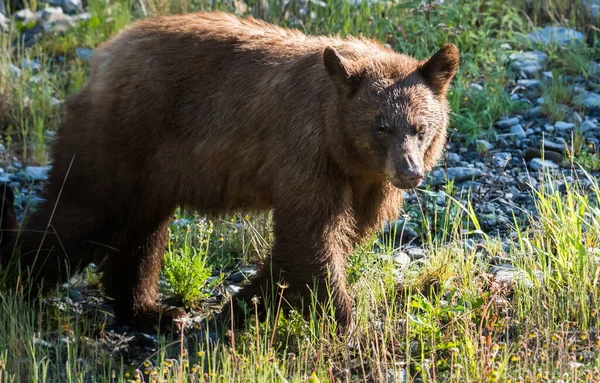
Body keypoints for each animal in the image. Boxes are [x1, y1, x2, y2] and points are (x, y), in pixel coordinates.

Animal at [1, 11, 460, 330]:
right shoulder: (307, 151)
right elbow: (312, 231)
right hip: (123, 136)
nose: (410, 172)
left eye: (421, 127)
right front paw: (346, 318)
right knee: (82, 211)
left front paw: (246, 303)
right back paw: (17, 279)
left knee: (140, 230)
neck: (344, 145)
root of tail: (103, 56)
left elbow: (333, 237)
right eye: (381, 126)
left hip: (153, 168)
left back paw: (148, 310)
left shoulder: (365, 180)